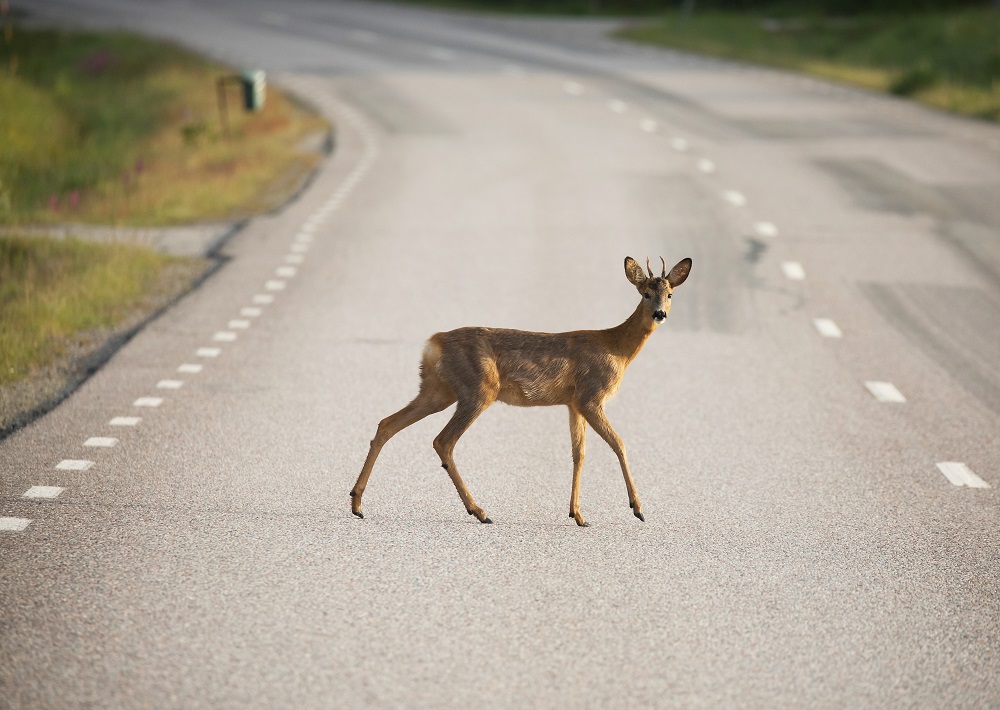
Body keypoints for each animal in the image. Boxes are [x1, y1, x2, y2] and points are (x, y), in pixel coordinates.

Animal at [354, 256, 696, 528]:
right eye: (646, 293)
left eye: (670, 293)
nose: (660, 314)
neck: (617, 349)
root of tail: (433, 342)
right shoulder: (591, 396)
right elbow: (619, 444)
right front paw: (637, 508)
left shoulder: (573, 403)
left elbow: (579, 453)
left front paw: (577, 515)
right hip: (478, 389)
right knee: (442, 440)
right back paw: (480, 511)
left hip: (437, 390)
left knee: (387, 423)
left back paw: (356, 503)